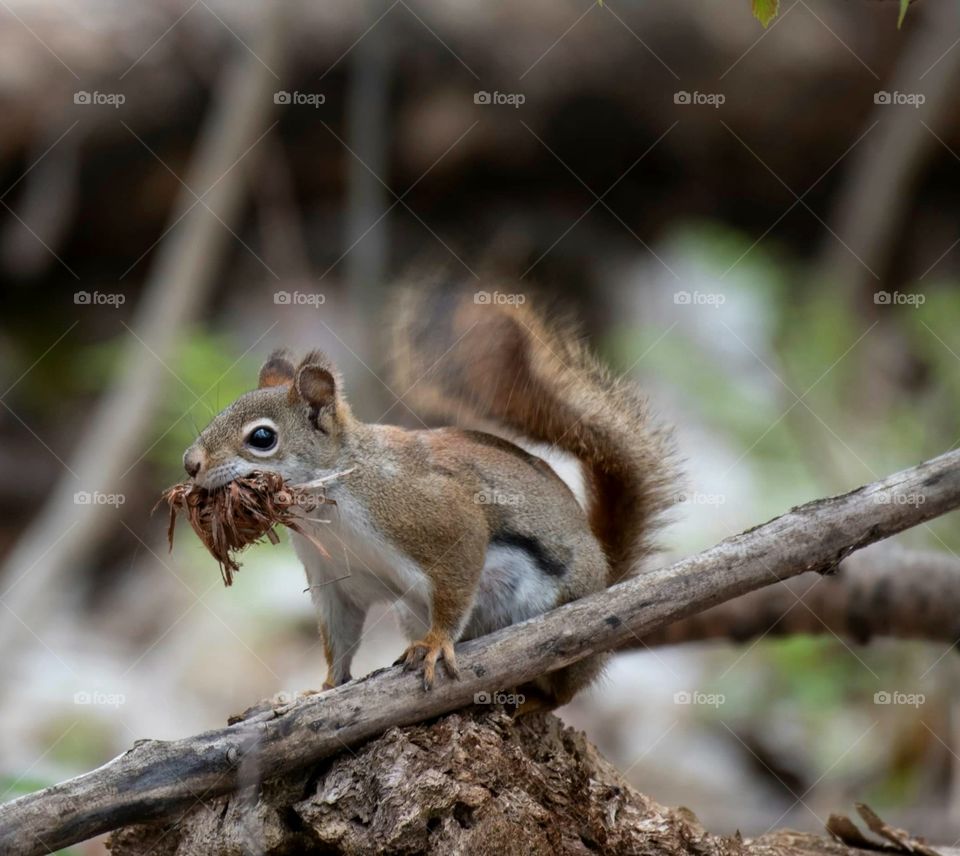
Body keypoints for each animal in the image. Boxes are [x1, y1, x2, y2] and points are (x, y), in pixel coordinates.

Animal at [180, 280, 676, 708]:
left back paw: (534, 702)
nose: (190, 463)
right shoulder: (335, 579)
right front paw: (321, 691)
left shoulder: (435, 516)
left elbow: (456, 580)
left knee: (563, 690)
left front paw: (436, 645)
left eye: (262, 438)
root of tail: (607, 572)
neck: (331, 506)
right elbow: (340, 639)